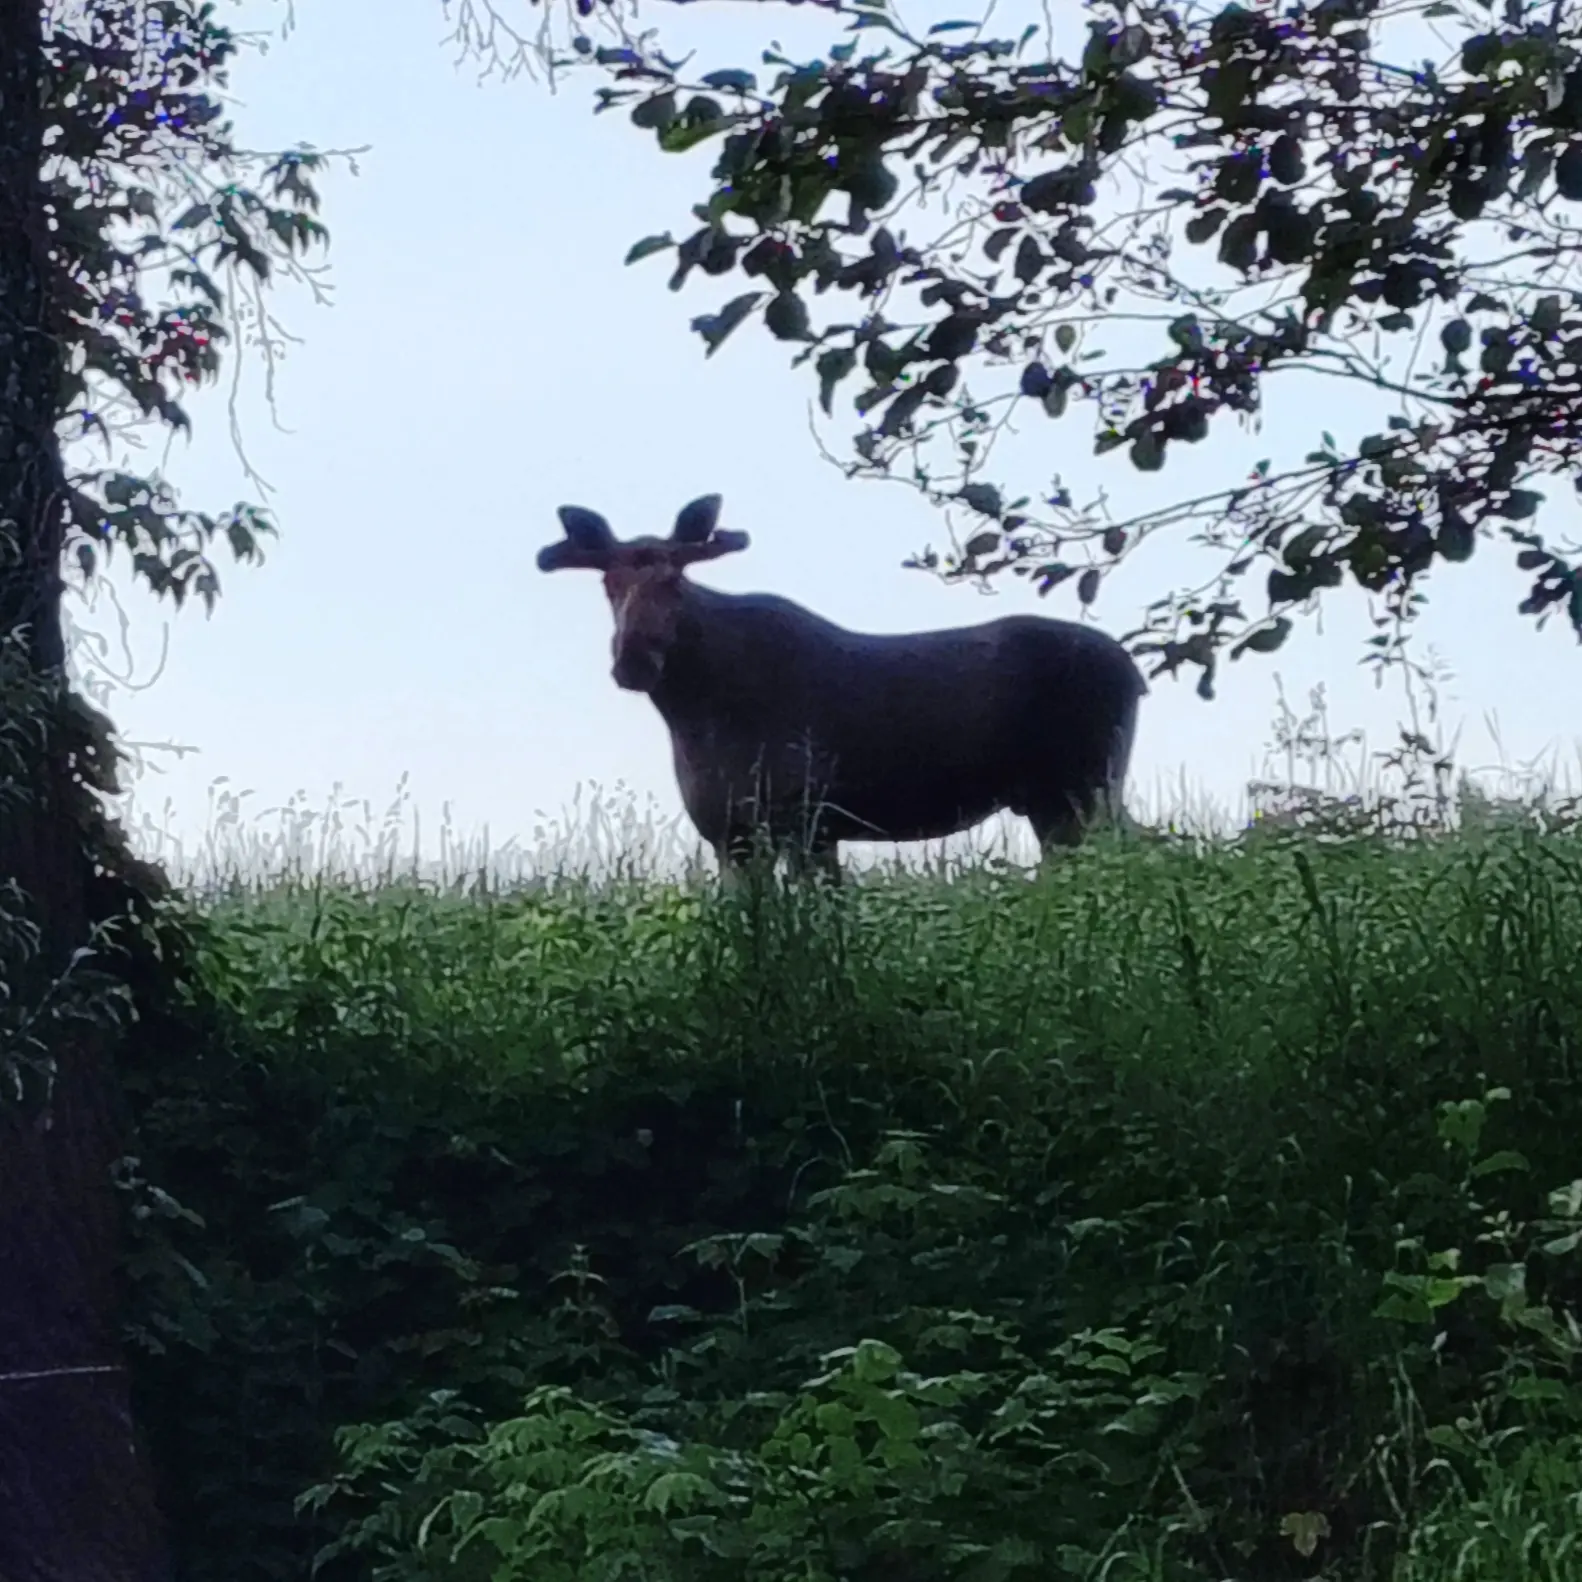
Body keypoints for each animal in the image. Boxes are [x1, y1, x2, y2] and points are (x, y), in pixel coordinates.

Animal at [538, 494, 1146, 881]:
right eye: (609, 583)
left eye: (674, 581)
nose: (634, 659)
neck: (690, 713)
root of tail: (1136, 675)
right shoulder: (731, 834)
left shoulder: (808, 820)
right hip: (1054, 800)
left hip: (1086, 786)